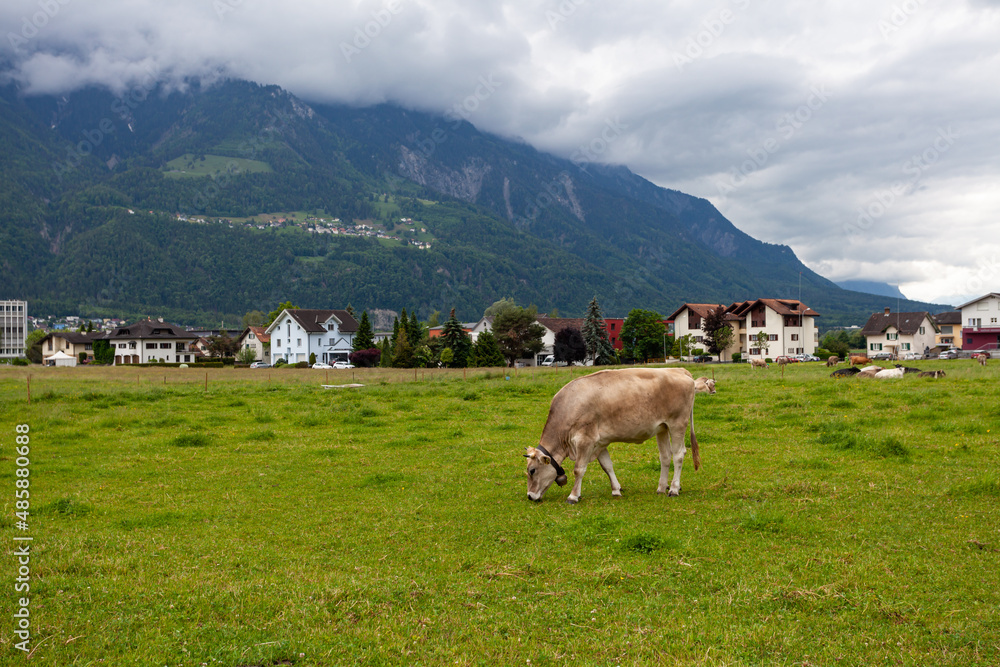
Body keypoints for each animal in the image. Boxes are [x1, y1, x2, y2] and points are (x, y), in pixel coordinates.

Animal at [528, 368, 700, 504]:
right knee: (665, 456)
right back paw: (661, 488)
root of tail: (678, 370)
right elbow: (607, 466)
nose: (529, 496)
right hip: (662, 428)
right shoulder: (599, 442)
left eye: (532, 471)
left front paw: (573, 496)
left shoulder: (585, 440)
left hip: (677, 424)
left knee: (678, 455)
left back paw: (674, 489)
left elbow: (579, 469)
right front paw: (616, 490)